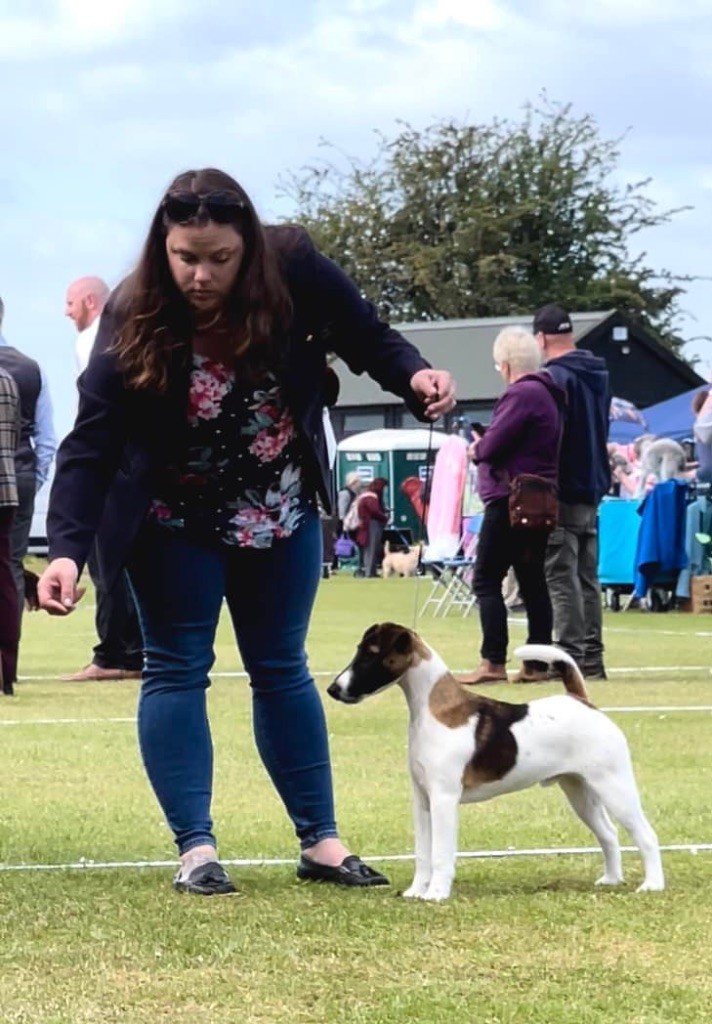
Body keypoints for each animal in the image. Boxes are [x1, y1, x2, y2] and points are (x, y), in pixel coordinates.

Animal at [331, 622, 663, 905]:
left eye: (371, 652)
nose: (333, 689)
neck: (432, 709)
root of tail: (582, 702)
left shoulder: (443, 799)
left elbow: (440, 854)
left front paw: (436, 893)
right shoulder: (422, 800)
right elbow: (423, 853)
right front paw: (416, 890)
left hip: (614, 787)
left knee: (646, 835)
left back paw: (652, 885)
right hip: (580, 792)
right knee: (609, 834)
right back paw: (611, 879)